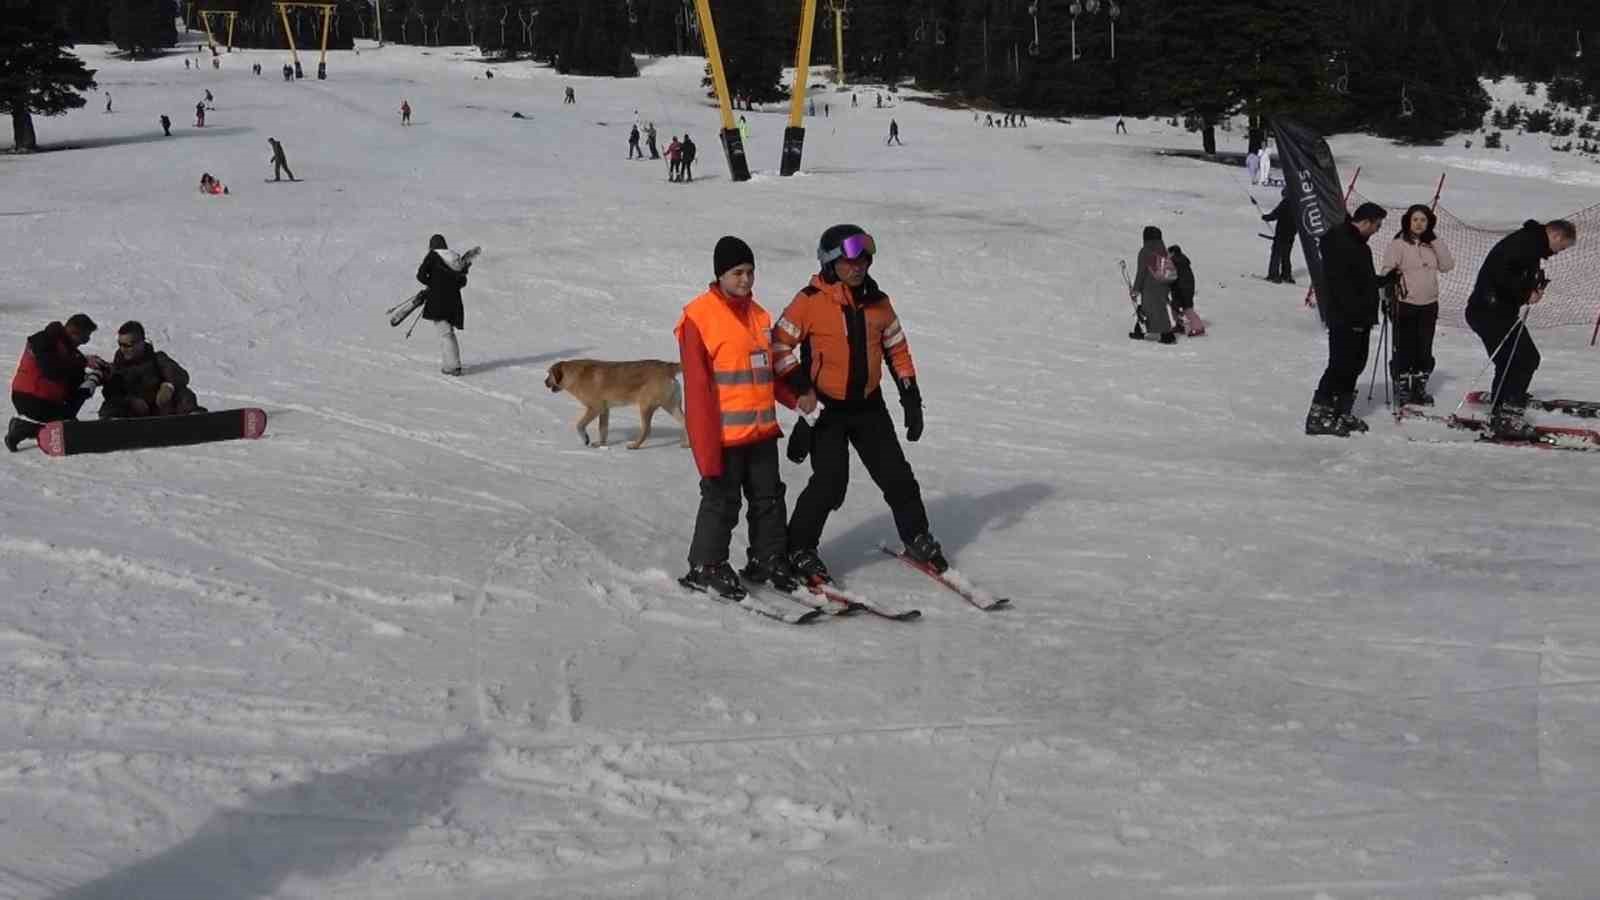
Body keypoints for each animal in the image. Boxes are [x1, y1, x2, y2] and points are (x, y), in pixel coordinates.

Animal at [544, 357, 688, 448]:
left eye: (549, 374)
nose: (544, 382)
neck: (575, 375)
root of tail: (667, 366)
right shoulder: (604, 410)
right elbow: (603, 429)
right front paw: (601, 445)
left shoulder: (595, 408)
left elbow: (579, 425)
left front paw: (585, 439)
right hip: (671, 406)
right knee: (685, 423)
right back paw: (687, 445)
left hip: (646, 406)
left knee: (646, 430)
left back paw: (634, 446)